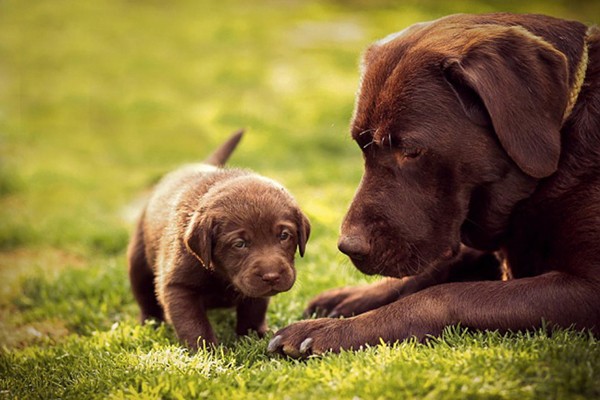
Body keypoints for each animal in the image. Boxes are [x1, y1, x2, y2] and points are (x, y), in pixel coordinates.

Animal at [129, 130, 312, 348]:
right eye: (239, 244)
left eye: (284, 236)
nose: (271, 276)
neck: (222, 275)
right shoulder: (178, 286)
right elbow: (192, 323)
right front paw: (206, 350)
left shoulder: (256, 293)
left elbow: (254, 310)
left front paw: (253, 336)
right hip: (138, 260)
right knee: (144, 295)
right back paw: (151, 322)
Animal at [268, 11, 600, 356]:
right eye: (361, 145)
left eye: (411, 151)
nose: (348, 247)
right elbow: (436, 269)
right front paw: (351, 298)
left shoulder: (588, 289)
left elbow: (444, 294)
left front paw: (329, 331)